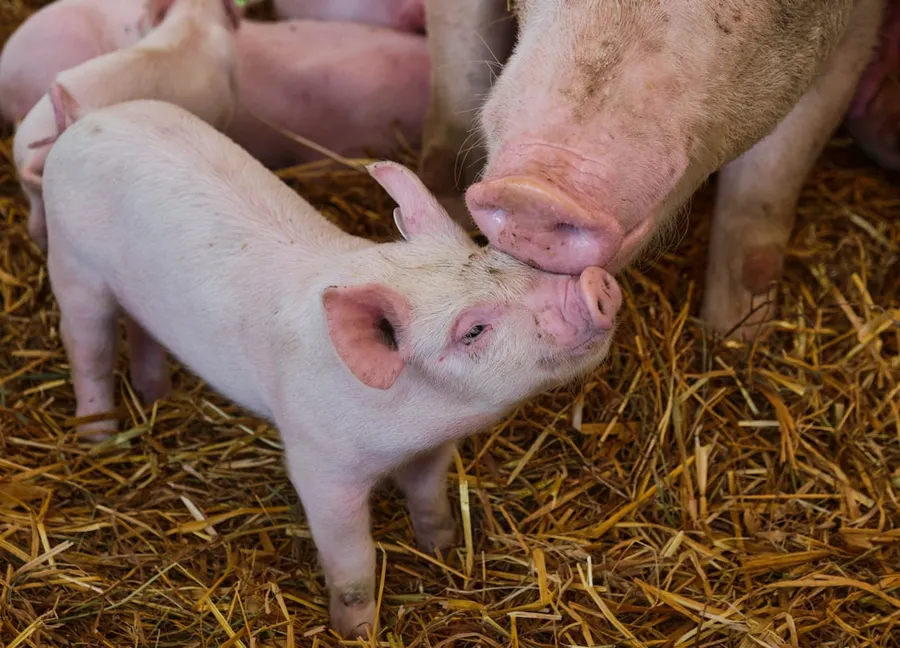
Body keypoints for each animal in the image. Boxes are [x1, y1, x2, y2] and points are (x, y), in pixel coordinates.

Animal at [41, 98, 622, 637]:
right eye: (473, 330)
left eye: (499, 257)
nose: (595, 285)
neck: (411, 424)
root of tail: (87, 119)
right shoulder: (318, 464)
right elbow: (352, 559)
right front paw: (358, 632)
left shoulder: (433, 450)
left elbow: (430, 497)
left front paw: (442, 549)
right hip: (72, 265)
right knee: (88, 348)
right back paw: (99, 437)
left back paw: (156, 394)